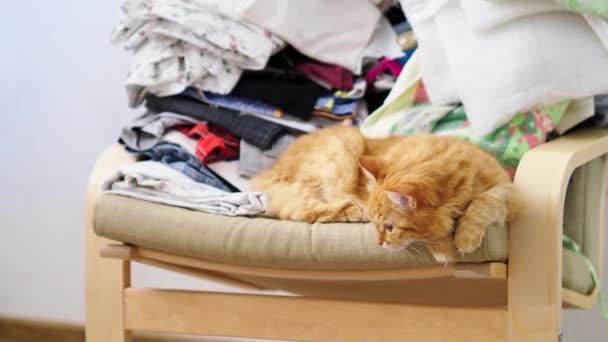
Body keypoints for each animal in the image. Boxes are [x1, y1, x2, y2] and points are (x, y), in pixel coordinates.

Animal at [252, 127, 516, 260]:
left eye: (389, 227)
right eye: (379, 226)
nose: (378, 244)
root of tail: (272, 170)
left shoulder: (508, 190)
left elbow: (485, 201)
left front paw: (465, 237)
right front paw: (446, 250)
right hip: (347, 144)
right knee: (304, 211)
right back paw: (354, 211)